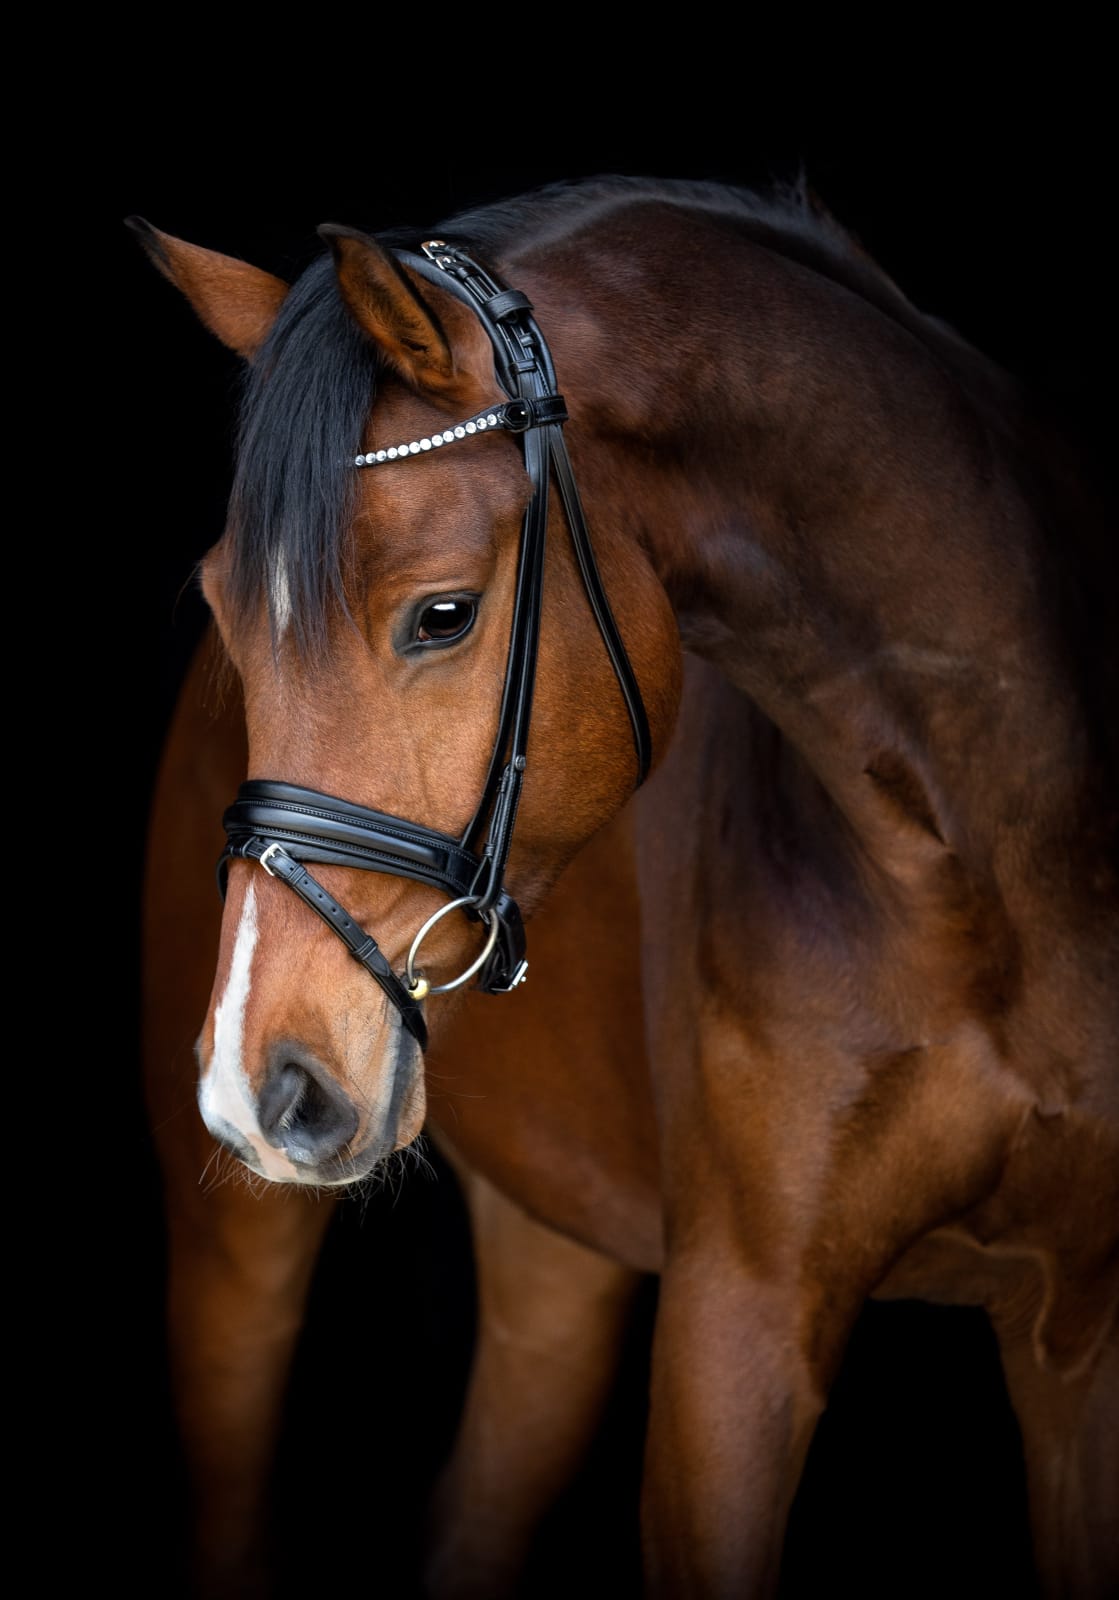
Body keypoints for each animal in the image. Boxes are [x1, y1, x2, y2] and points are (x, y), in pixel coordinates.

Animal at [131, 174, 1118, 1598]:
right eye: (221, 611)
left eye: (442, 614)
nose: (259, 1088)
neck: (987, 869)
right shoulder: (737, 1325)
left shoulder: (1078, 1330)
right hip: (237, 1260)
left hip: (561, 1253)